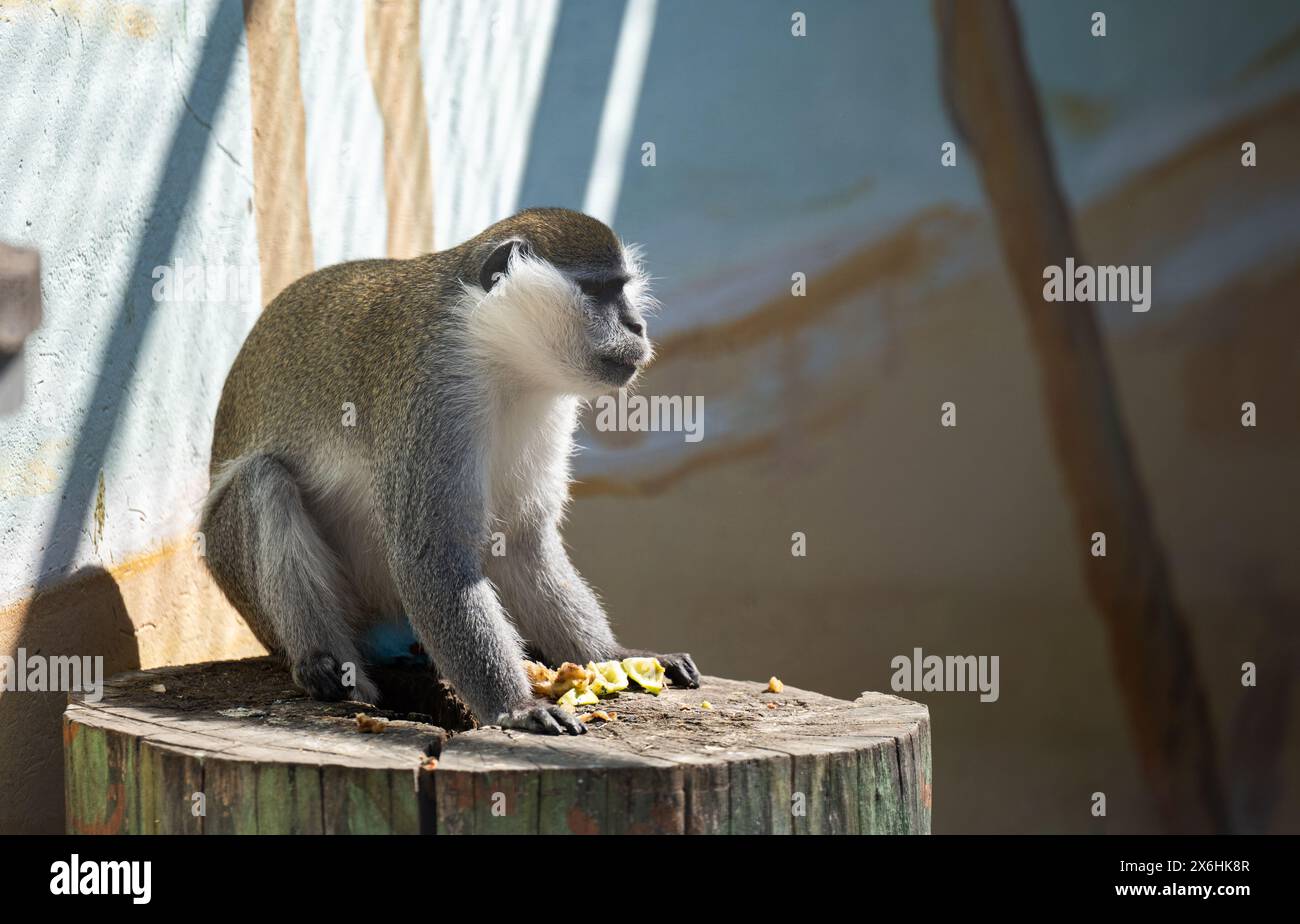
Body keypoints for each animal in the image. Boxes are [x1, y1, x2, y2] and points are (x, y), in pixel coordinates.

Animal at [200, 209, 702, 738]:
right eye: (599, 291)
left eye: (623, 288)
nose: (637, 324)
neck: (497, 354)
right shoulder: (433, 390)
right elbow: (431, 556)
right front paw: (515, 706)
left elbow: (521, 542)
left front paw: (614, 657)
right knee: (265, 480)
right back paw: (325, 667)